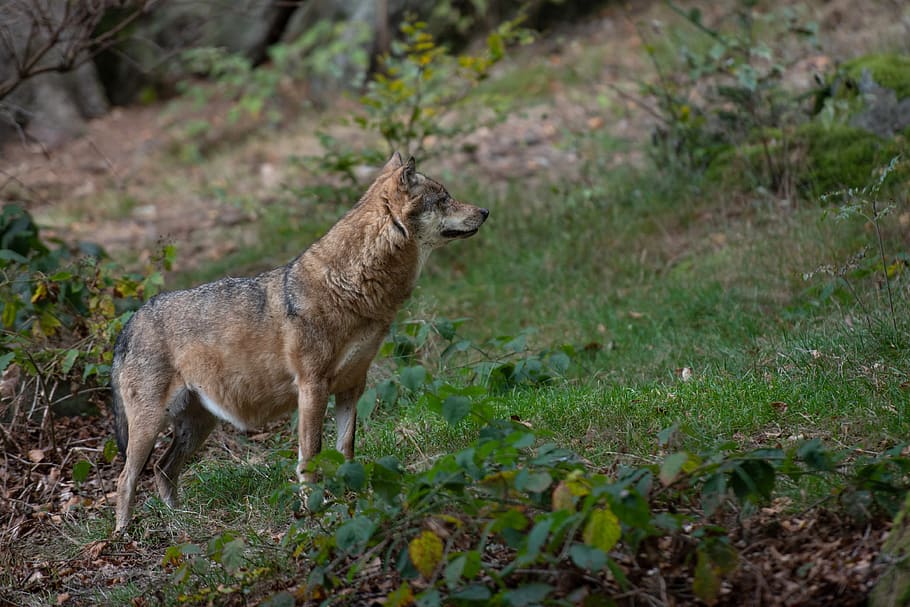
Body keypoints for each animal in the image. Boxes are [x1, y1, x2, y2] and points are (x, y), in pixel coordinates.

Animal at [110, 153, 488, 533]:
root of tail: (130, 322)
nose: (485, 211)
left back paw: (182, 523)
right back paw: (124, 534)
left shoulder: (352, 386)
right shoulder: (312, 387)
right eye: (443, 199)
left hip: (198, 426)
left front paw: (350, 499)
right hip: (150, 427)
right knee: (126, 479)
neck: (351, 288)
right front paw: (313, 510)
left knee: (163, 470)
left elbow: (346, 450)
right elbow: (312, 456)